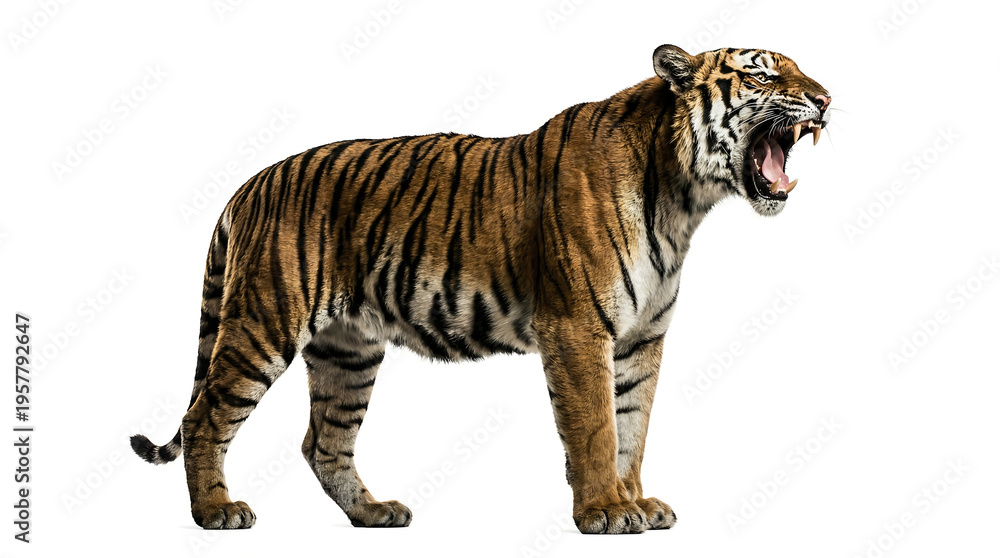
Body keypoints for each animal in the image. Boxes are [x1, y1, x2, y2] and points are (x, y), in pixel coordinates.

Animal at [131, 44, 831, 534]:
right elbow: (597, 428)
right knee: (204, 416)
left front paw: (636, 501)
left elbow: (632, 425)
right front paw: (605, 511)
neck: (684, 198)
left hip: (347, 350)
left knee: (323, 443)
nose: (826, 99)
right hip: (264, 322)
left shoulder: (640, 340)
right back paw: (217, 512)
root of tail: (249, 184)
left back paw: (374, 514)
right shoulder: (578, 328)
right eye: (762, 75)